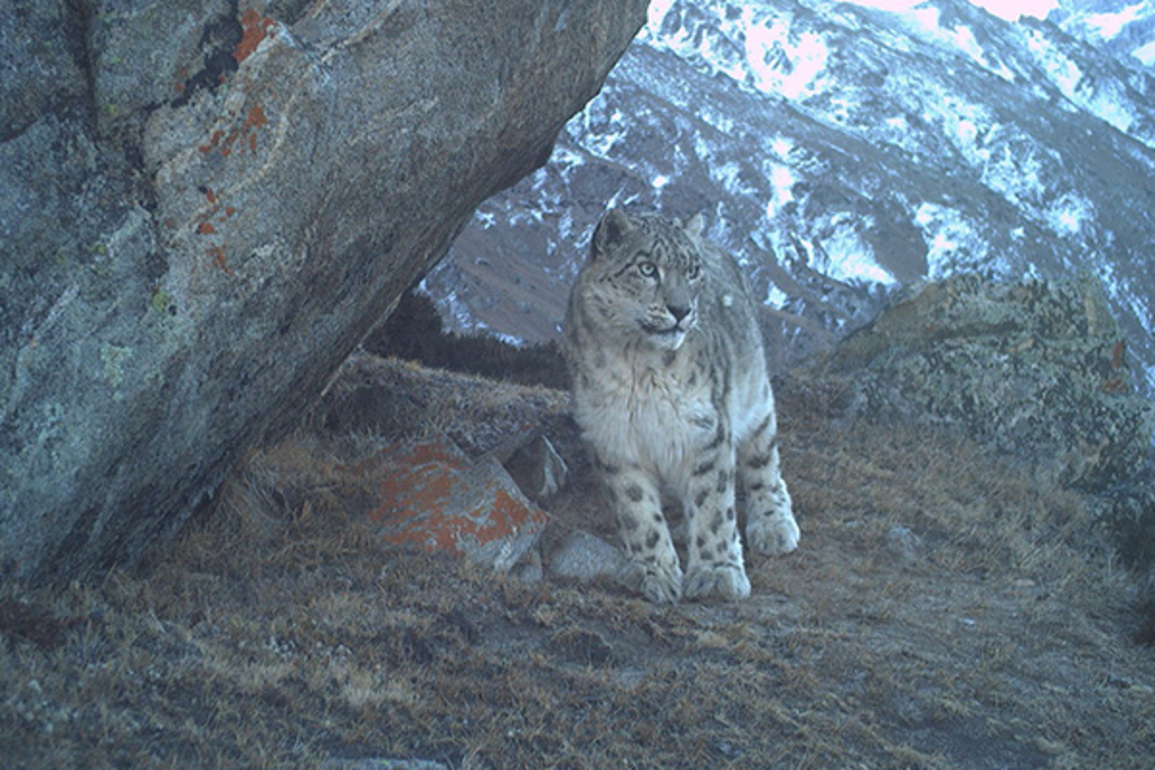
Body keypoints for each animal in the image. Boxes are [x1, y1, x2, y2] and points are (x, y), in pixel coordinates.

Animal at [563, 208, 800, 603]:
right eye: (647, 268)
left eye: (692, 271)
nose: (681, 309)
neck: (638, 369)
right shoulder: (613, 436)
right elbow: (637, 511)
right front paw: (655, 572)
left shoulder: (705, 429)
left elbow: (713, 506)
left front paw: (717, 574)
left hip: (755, 398)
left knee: (764, 460)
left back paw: (774, 524)